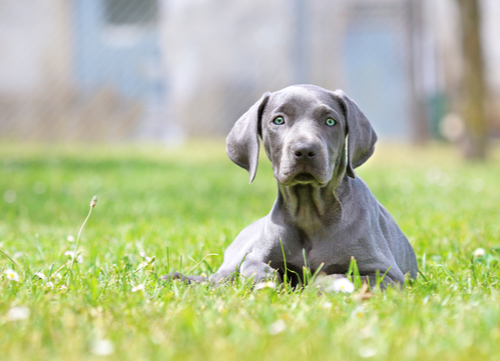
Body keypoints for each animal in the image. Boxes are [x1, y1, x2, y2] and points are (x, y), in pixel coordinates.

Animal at [168, 83, 418, 286]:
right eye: (278, 120)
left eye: (330, 121)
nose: (305, 151)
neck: (309, 213)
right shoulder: (256, 255)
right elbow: (251, 266)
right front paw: (269, 278)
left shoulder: (387, 274)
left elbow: (341, 277)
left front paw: (317, 283)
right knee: (219, 277)